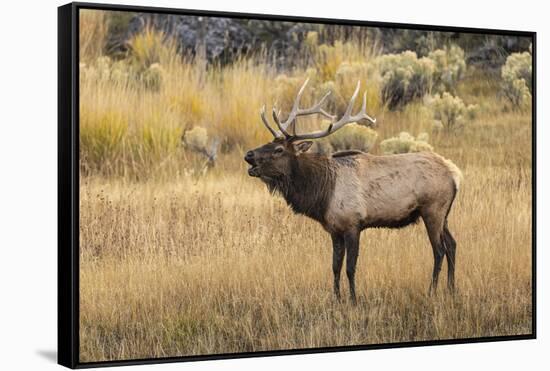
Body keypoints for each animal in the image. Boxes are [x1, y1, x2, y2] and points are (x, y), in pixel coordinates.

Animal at [244, 80, 464, 304]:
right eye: (269, 143)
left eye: (279, 150)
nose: (248, 155)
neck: (322, 193)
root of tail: (455, 174)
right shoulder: (334, 229)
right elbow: (335, 266)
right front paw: (337, 298)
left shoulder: (353, 224)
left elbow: (350, 268)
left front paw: (354, 300)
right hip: (443, 214)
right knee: (452, 245)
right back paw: (451, 289)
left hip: (433, 210)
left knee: (439, 250)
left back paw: (432, 292)